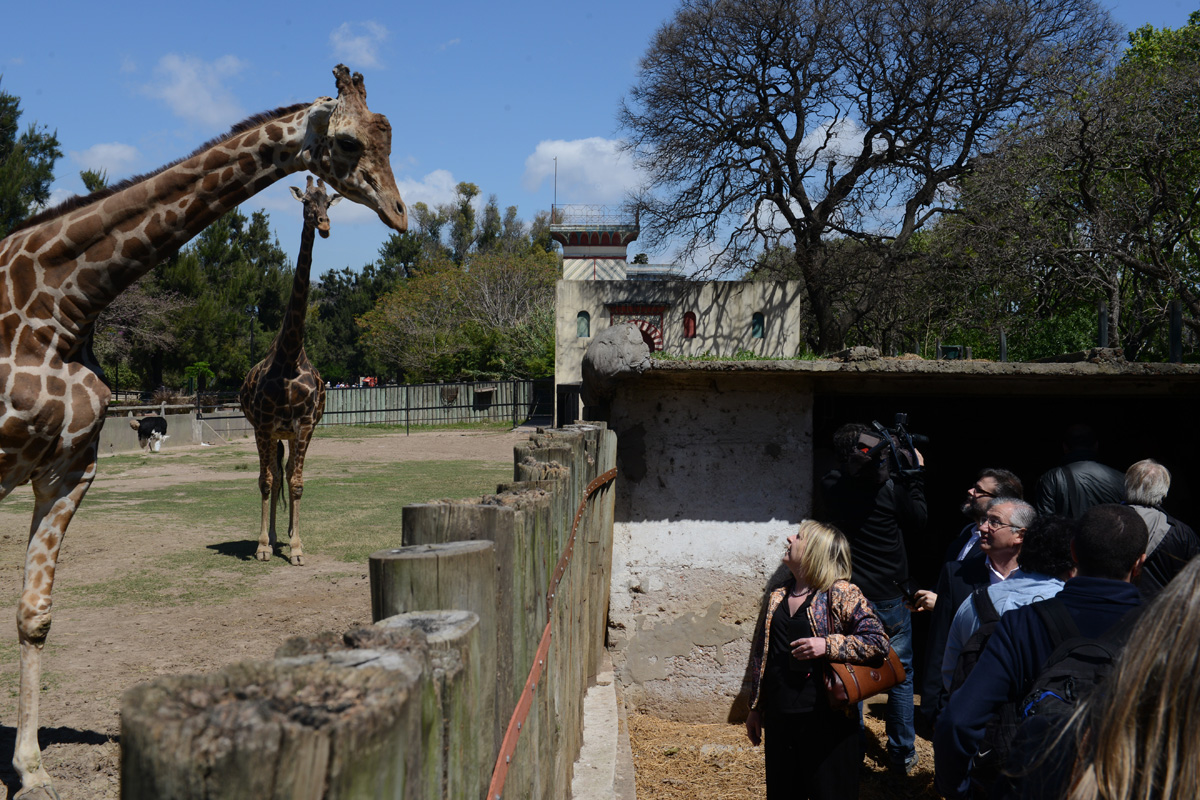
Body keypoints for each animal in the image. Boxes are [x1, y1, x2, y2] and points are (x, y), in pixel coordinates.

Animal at [240, 175, 340, 566]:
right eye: (306, 204)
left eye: (328, 201)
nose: (324, 226)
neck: (290, 356)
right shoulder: (265, 424)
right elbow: (265, 481)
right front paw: (263, 546)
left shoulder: (306, 424)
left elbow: (297, 483)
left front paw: (297, 546)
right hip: (267, 431)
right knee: (270, 475)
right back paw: (267, 536)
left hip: (287, 433)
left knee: (282, 473)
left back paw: (284, 534)